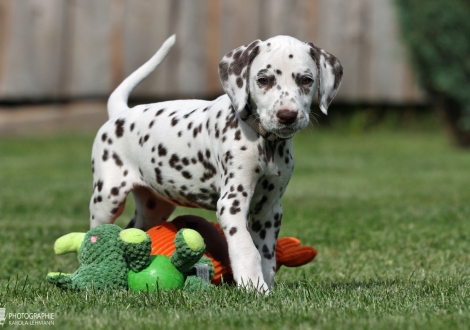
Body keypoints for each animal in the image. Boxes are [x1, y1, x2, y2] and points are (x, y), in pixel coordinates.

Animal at [91, 34, 342, 292]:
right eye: (263, 80)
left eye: (306, 80)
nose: (287, 115)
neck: (265, 142)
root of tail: (120, 113)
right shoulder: (232, 202)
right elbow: (246, 248)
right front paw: (253, 286)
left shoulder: (269, 209)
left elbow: (266, 255)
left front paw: (266, 284)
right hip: (107, 198)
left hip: (154, 207)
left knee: (133, 227)